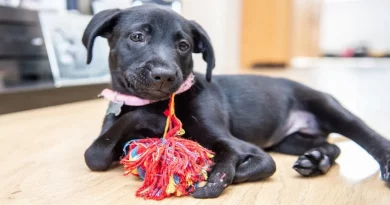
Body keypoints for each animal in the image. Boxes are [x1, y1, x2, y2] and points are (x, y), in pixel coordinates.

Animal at [82, 4, 390, 198]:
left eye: (183, 46)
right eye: (137, 37)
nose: (165, 75)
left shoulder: (235, 143)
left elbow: (250, 162)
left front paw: (211, 173)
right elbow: (94, 155)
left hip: (329, 108)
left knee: (369, 136)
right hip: (289, 141)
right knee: (330, 146)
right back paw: (316, 160)